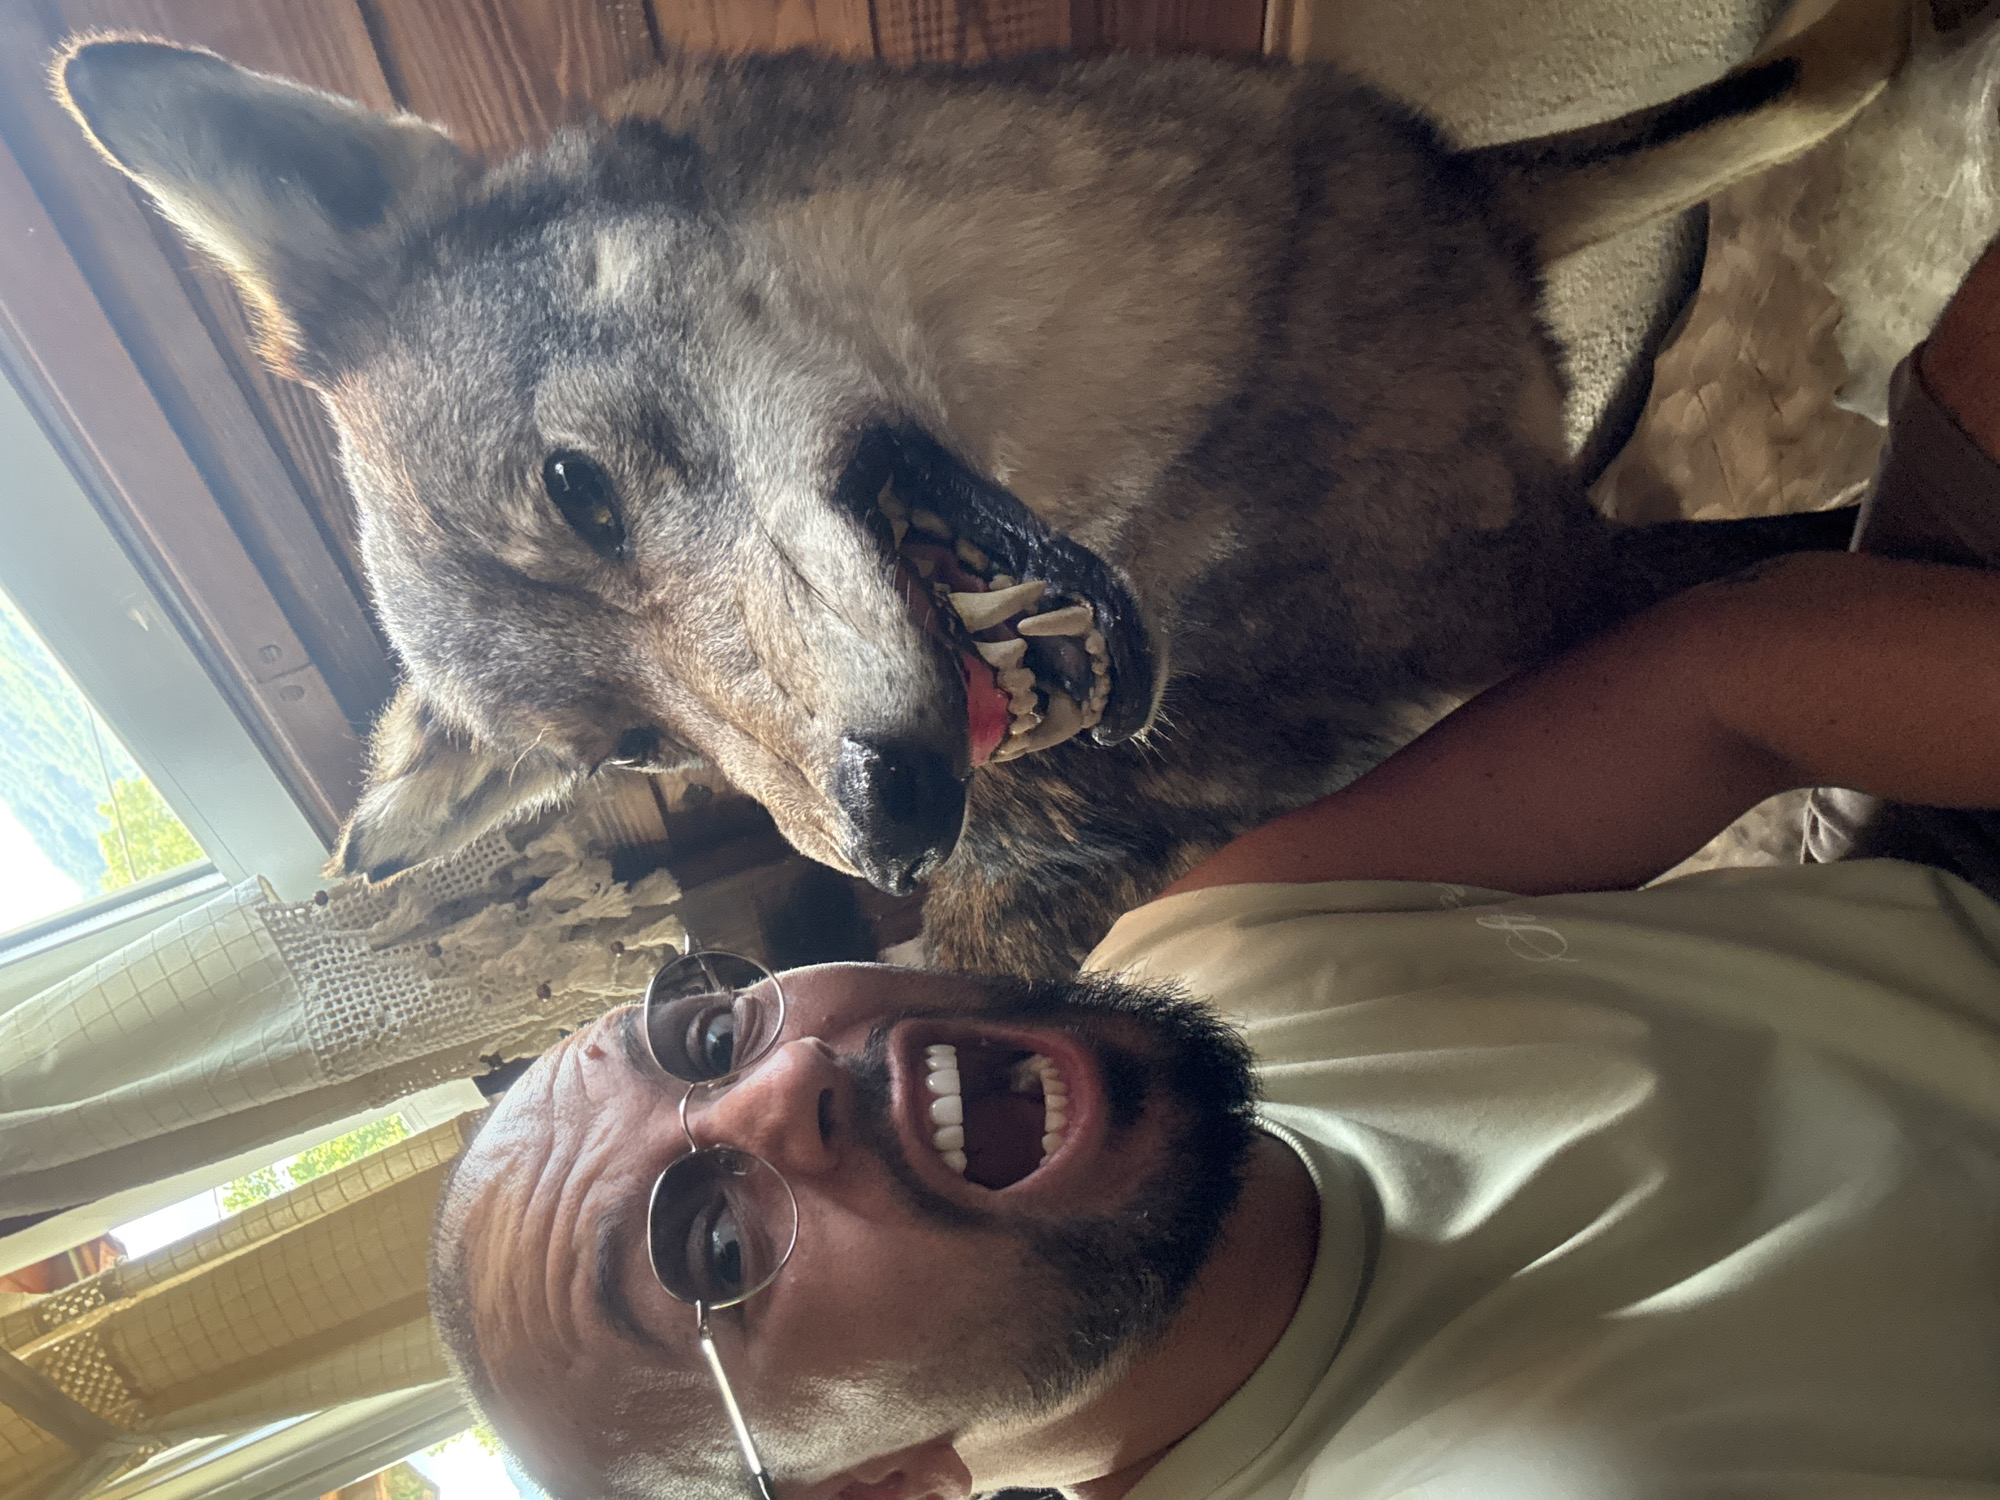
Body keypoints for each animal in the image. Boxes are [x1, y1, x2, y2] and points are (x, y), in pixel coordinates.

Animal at [59, 1, 1901, 975]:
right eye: (639, 753)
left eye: (579, 493)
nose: (889, 827)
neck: (1207, 392)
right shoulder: (1552, 602)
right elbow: (1803, 572)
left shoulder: (1463, 213)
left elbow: (1775, 93)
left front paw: (1896, 43)